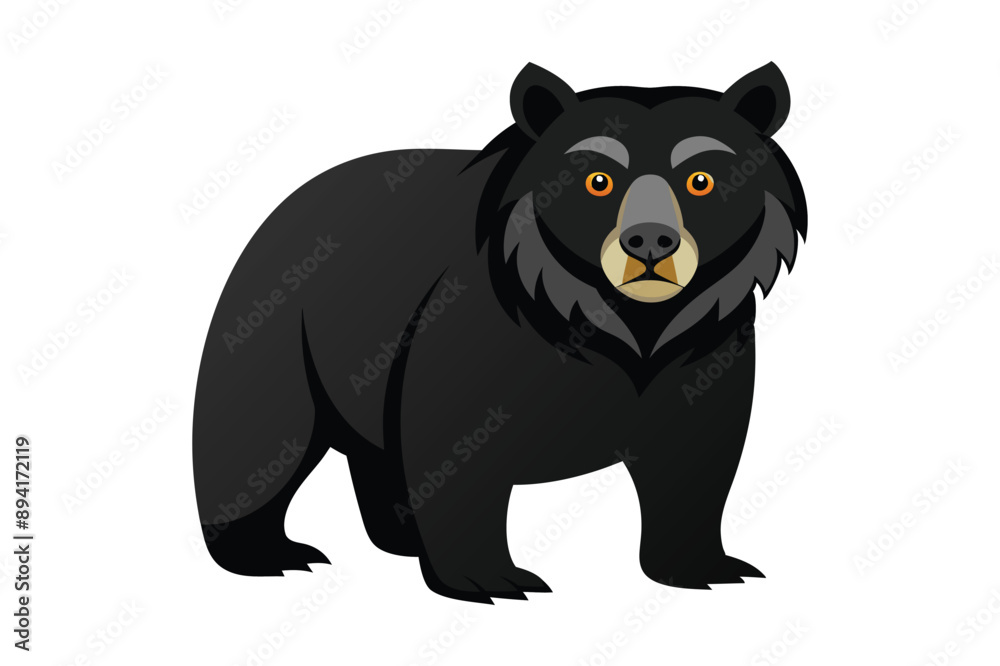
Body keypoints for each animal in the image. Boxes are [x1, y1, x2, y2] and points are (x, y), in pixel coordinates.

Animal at [193, 61, 807, 604]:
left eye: (701, 179)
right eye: (598, 180)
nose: (650, 241)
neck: (631, 326)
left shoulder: (705, 347)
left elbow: (698, 455)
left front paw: (710, 569)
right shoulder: (474, 335)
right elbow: (454, 447)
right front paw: (493, 580)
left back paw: (400, 537)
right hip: (280, 328)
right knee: (262, 437)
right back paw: (271, 552)